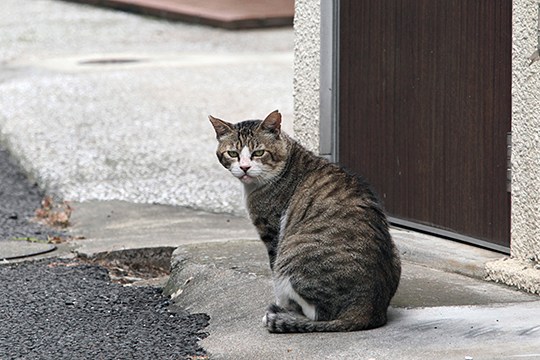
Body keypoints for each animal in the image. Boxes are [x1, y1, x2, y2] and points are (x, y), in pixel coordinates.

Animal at [210, 109, 400, 332]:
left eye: (258, 153)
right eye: (233, 154)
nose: (245, 167)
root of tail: (367, 311)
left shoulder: (272, 232)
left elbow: (274, 272)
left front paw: (280, 306)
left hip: (292, 256)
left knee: (316, 312)